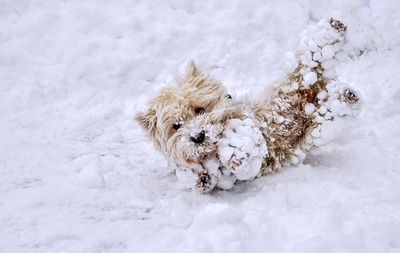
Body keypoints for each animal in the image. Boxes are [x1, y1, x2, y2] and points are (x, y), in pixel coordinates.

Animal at [136, 18, 360, 193]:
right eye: (176, 126)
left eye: (199, 110)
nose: (198, 136)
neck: (214, 150)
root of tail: (312, 95)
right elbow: (190, 173)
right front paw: (199, 177)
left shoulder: (246, 121)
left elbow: (243, 140)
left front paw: (236, 153)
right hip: (312, 128)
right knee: (324, 116)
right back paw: (345, 97)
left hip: (295, 85)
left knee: (310, 63)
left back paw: (331, 33)